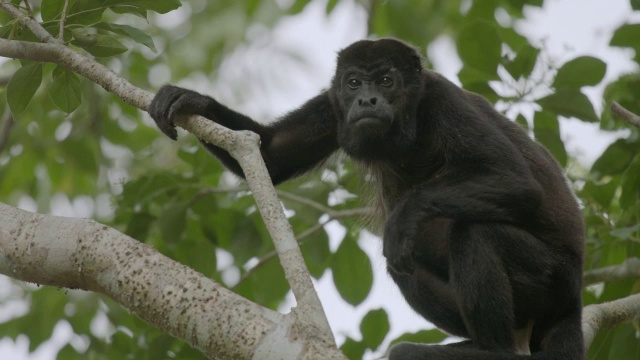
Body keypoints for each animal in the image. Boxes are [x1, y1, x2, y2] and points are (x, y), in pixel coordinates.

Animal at [150, 39, 584, 360]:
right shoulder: (332, 104)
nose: (368, 101)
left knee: (473, 232)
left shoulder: (442, 99)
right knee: (405, 265)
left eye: (387, 80)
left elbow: (515, 181)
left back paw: (491, 350)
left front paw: (401, 218)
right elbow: (272, 155)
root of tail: (574, 298)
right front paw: (194, 100)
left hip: (552, 278)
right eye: (355, 83)